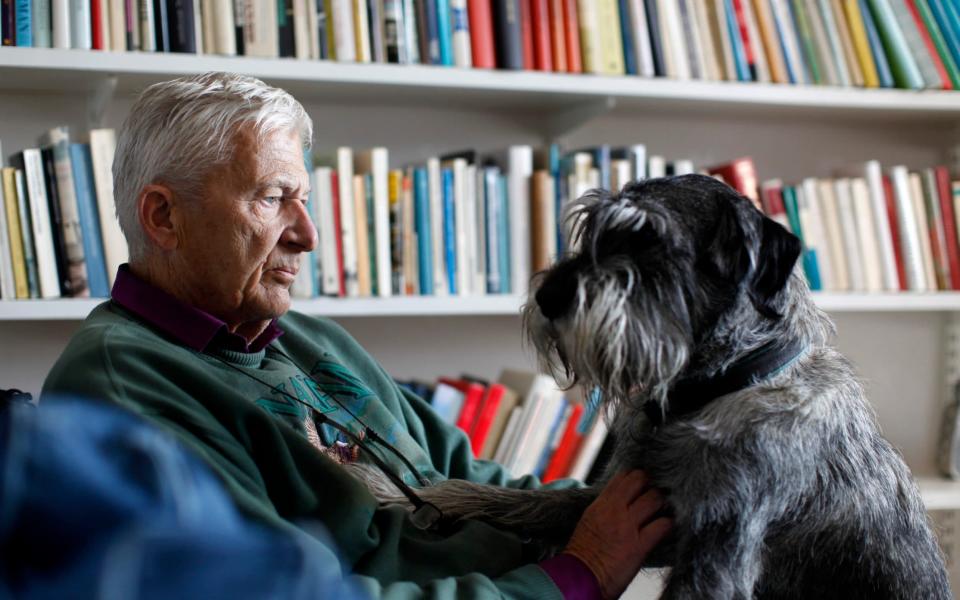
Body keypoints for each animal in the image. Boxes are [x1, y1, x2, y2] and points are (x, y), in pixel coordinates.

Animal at [372, 173, 948, 600]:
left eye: (649, 241)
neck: (714, 390)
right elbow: (513, 501)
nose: (548, 294)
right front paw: (416, 493)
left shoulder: (716, 550)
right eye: (587, 230)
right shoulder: (621, 502)